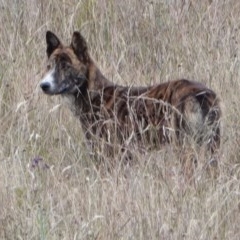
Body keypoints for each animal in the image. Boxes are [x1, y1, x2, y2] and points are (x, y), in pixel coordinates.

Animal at [39, 31, 221, 174]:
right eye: (49, 66)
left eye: (66, 66)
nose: (44, 85)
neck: (95, 94)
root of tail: (201, 93)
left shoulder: (108, 157)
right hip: (211, 147)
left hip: (185, 149)